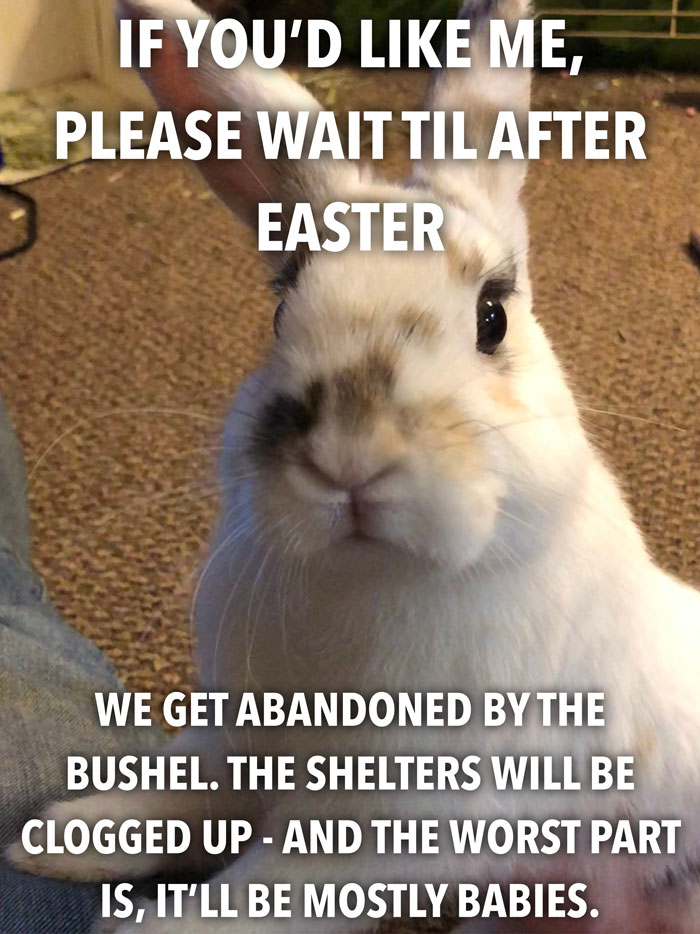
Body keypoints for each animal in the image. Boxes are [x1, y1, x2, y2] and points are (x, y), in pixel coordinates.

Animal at [8, 0, 700, 931]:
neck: (371, 578)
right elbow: (178, 792)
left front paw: (136, 923)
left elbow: (249, 898)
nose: (348, 458)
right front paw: (52, 837)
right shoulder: (238, 740)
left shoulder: (389, 834)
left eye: (492, 316)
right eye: (278, 311)